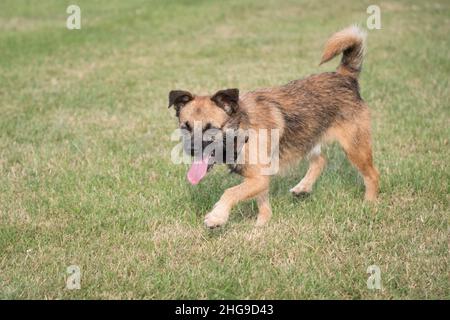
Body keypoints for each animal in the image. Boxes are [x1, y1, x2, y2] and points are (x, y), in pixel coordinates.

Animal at [169, 26, 380, 228]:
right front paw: (262, 222)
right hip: (306, 138)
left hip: (355, 147)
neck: (243, 128)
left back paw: (369, 204)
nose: (192, 149)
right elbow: (261, 200)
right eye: (185, 127)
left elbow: (230, 192)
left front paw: (217, 217)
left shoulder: (258, 178)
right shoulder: (258, 179)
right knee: (320, 160)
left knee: (372, 175)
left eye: (211, 128)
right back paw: (303, 187)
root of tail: (344, 76)